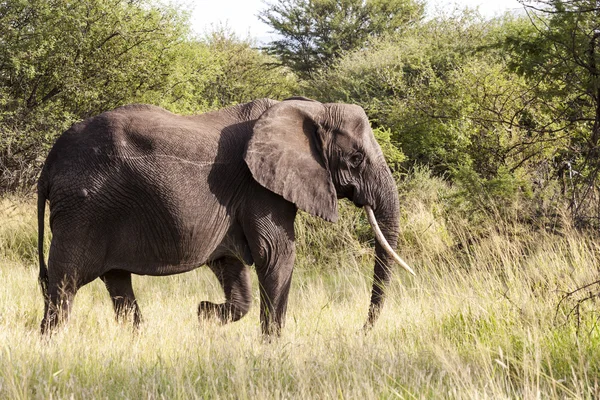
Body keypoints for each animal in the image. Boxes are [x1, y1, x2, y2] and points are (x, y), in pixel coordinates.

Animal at [36, 96, 412, 334]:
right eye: (356, 159)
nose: (363, 330)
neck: (311, 108)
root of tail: (49, 163)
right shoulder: (259, 187)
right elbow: (276, 254)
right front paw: (273, 349)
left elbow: (231, 265)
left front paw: (204, 314)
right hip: (83, 209)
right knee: (64, 286)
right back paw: (51, 344)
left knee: (117, 284)